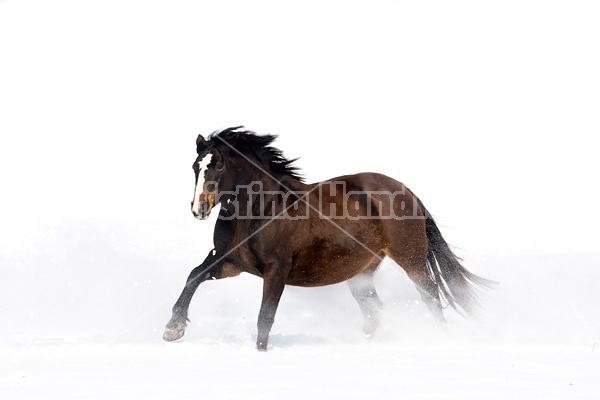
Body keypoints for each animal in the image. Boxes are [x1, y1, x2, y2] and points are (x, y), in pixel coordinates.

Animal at [164, 125, 492, 350]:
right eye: (195, 166)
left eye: (219, 165)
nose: (199, 208)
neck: (260, 210)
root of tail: (406, 191)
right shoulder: (232, 262)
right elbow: (194, 276)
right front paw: (173, 329)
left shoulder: (276, 269)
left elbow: (265, 316)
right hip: (361, 273)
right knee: (375, 311)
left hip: (411, 259)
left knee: (431, 298)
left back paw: (441, 339)